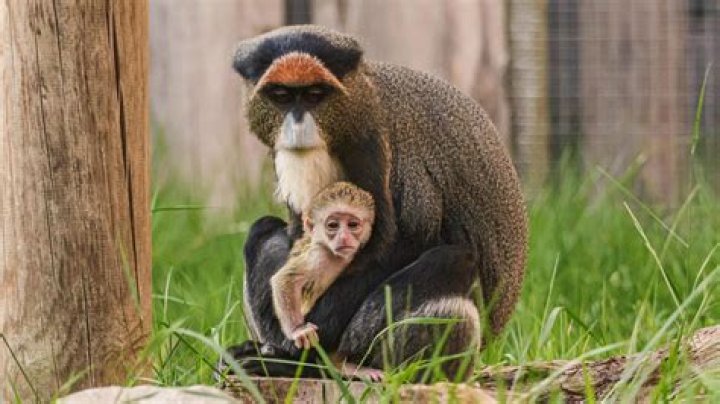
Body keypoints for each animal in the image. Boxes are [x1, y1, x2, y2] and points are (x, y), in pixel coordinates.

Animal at [222, 25, 527, 382]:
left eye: (314, 95)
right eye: (282, 96)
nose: (297, 124)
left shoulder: (372, 142)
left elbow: (405, 242)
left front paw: (298, 351)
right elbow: (299, 236)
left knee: (450, 258)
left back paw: (317, 366)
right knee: (263, 230)